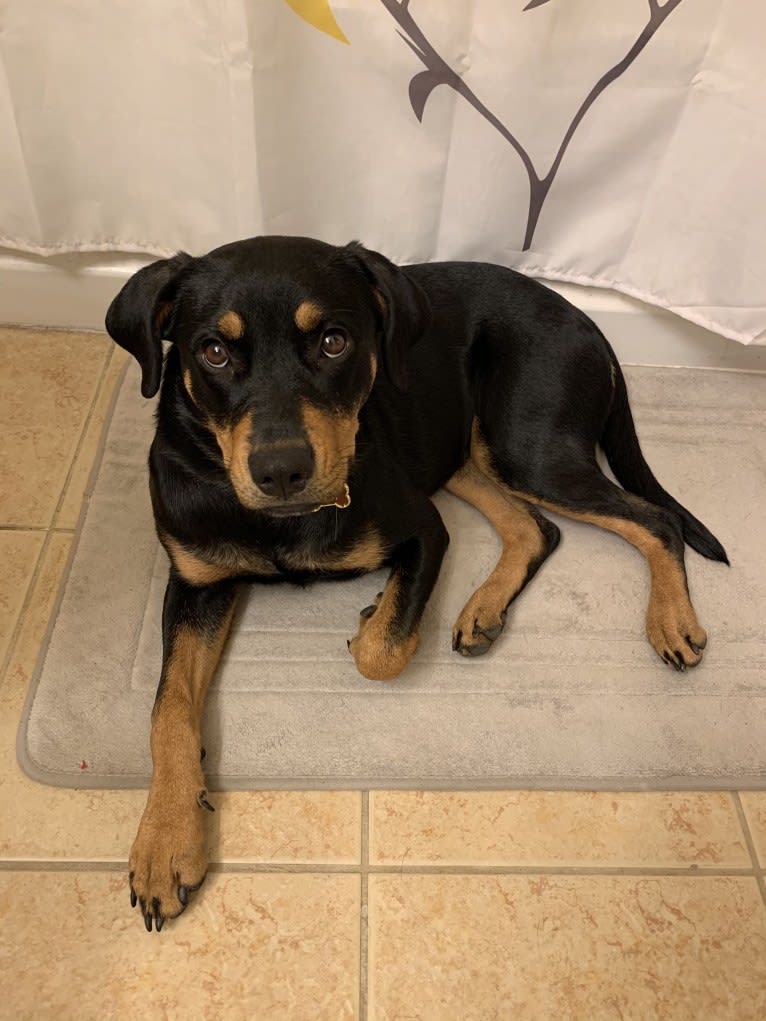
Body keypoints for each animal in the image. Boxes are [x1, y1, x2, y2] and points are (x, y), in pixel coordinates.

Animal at [105, 234, 727, 931]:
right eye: (213, 351)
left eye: (335, 342)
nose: (282, 471)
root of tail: (587, 322)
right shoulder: (194, 581)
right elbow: (168, 709)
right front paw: (164, 842)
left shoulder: (424, 530)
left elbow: (384, 652)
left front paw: (374, 616)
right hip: (467, 450)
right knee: (536, 528)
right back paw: (483, 611)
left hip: (525, 443)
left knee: (655, 520)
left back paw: (671, 622)